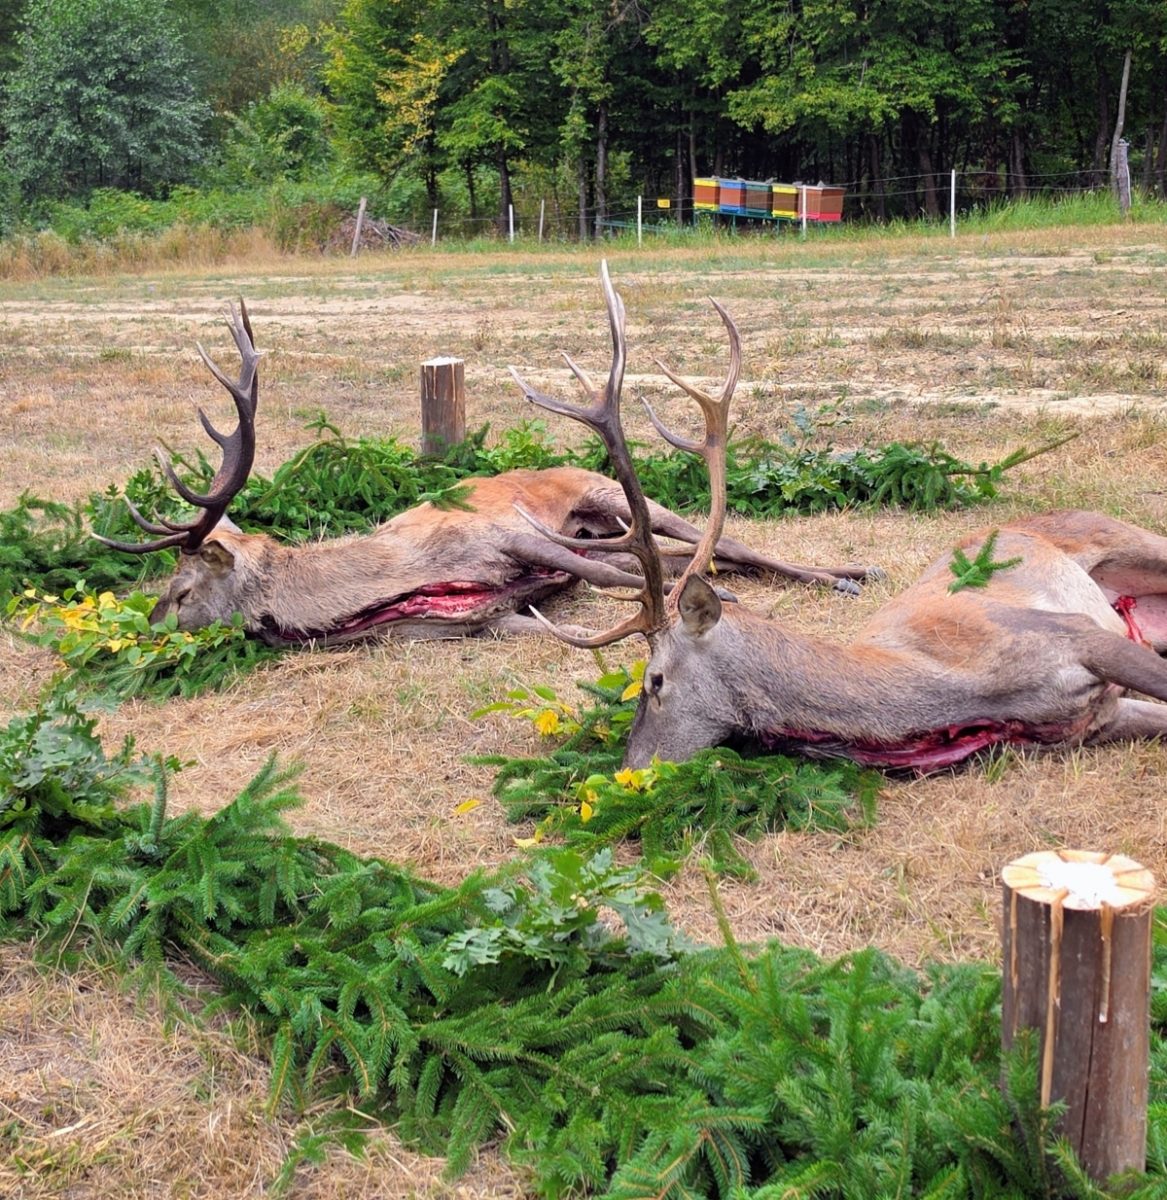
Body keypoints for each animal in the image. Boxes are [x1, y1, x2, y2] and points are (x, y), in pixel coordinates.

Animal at [97, 296, 874, 648]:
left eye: (181, 589)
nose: (146, 622)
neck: (401, 581)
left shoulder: (508, 535)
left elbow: (615, 576)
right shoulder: (483, 622)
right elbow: (602, 585)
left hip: (609, 497)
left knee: (723, 540)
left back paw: (847, 573)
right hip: (601, 522)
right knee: (682, 553)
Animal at [512, 266, 1167, 775]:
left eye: (654, 681)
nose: (629, 770)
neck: (953, 691)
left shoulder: (1069, 634)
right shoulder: (1098, 719)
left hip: (1129, 540)